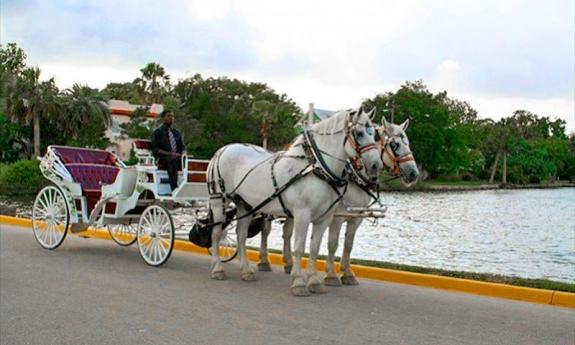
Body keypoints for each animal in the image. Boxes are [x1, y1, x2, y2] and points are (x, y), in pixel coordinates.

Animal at [206, 108, 382, 296]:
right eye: (359, 133)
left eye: (375, 135)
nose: (376, 165)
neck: (317, 168)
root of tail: (223, 149)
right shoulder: (302, 214)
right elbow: (299, 247)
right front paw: (298, 282)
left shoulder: (325, 217)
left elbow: (314, 248)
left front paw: (314, 281)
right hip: (219, 200)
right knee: (217, 233)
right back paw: (217, 268)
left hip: (245, 204)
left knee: (241, 235)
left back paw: (246, 270)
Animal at [260, 115, 418, 284]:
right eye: (395, 144)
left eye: (408, 143)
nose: (414, 173)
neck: (354, 176)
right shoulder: (338, 215)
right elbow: (332, 243)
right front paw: (331, 275)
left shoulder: (356, 217)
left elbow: (348, 244)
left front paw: (347, 273)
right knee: (266, 230)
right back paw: (264, 261)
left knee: (287, 232)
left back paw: (289, 263)